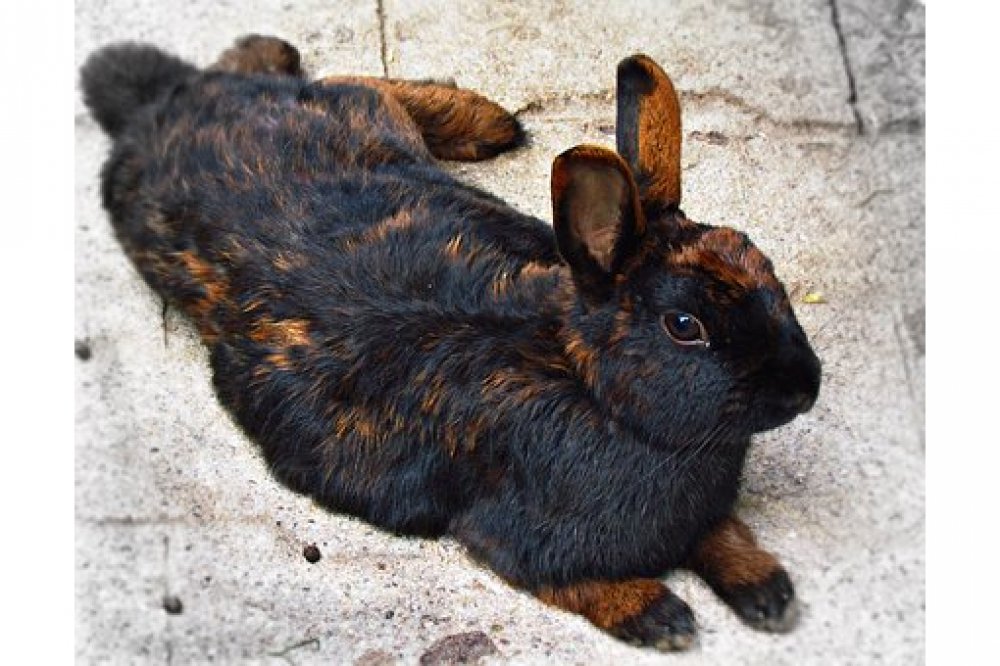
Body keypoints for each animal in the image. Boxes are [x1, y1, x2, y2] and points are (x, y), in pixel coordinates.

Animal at [80, 35, 821, 651]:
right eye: (684, 326)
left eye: (761, 262)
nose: (805, 386)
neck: (590, 387)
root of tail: (171, 102)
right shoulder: (511, 536)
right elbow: (574, 582)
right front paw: (664, 619)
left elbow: (722, 534)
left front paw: (769, 594)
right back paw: (489, 122)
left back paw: (486, 121)